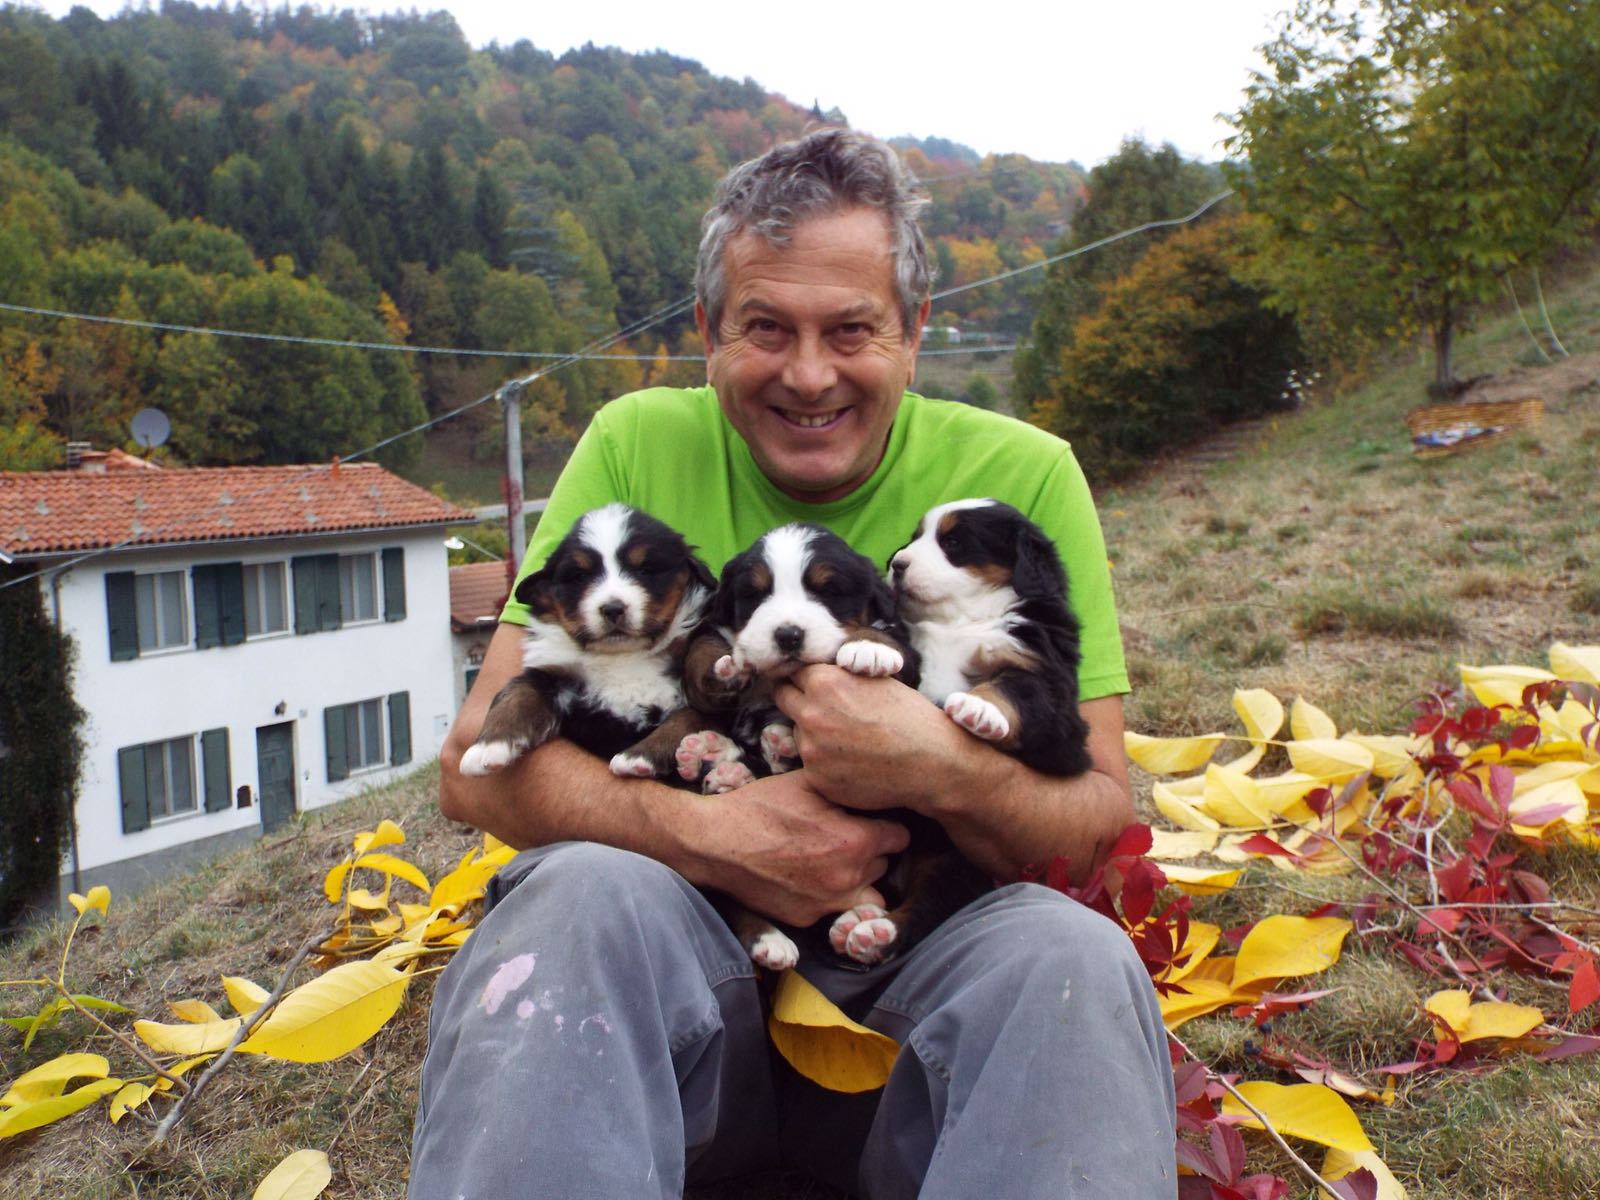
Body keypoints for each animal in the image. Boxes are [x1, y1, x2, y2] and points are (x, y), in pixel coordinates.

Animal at [458, 503, 718, 780]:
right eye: (580, 576)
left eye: (645, 570)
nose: (612, 608)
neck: (624, 657)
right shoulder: (552, 673)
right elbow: (517, 694)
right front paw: (487, 747)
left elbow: (688, 716)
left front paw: (640, 755)